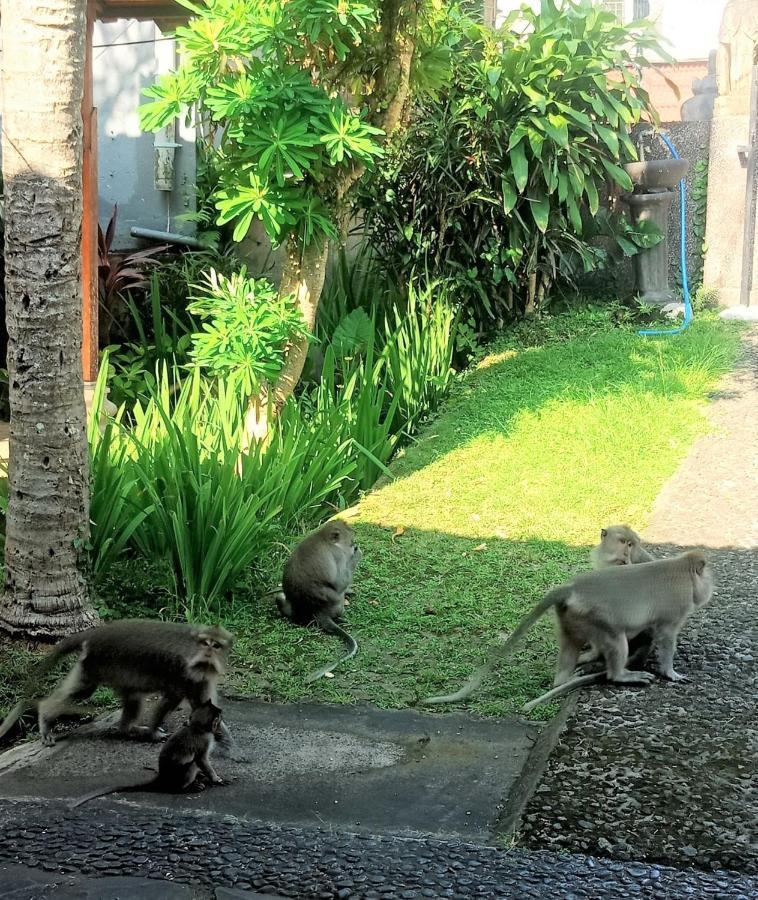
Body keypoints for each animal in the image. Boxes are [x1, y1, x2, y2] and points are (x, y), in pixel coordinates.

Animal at [0, 620, 236, 752]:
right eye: (205, 643)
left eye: (216, 645)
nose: (208, 653)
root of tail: (97, 632)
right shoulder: (181, 672)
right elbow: (172, 699)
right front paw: (153, 733)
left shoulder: (200, 678)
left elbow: (202, 704)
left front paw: (224, 736)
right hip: (101, 660)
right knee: (85, 691)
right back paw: (46, 716)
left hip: (97, 663)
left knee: (125, 695)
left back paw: (127, 729)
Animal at [68, 696, 226, 808]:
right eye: (218, 716)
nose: (221, 711)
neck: (197, 728)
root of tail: (162, 777)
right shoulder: (203, 741)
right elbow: (201, 760)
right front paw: (215, 778)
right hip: (179, 775)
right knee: (191, 764)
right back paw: (186, 788)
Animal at [278, 520, 364, 684]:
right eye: (350, 541)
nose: (354, 544)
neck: (323, 536)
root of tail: (317, 612)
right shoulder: (338, 555)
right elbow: (339, 583)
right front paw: (356, 554)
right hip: (337, 605)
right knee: (338, 593)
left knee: (279, 597)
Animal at [424, 548, 716, 712]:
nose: (712, 586)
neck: (682, 568)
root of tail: (572, 587)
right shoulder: (675, 611)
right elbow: (666, 639)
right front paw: (671, 673)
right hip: (597, 618)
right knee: (616, 641)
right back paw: (621, 675)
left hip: (571, 616)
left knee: (570, 646)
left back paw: (565, 678)